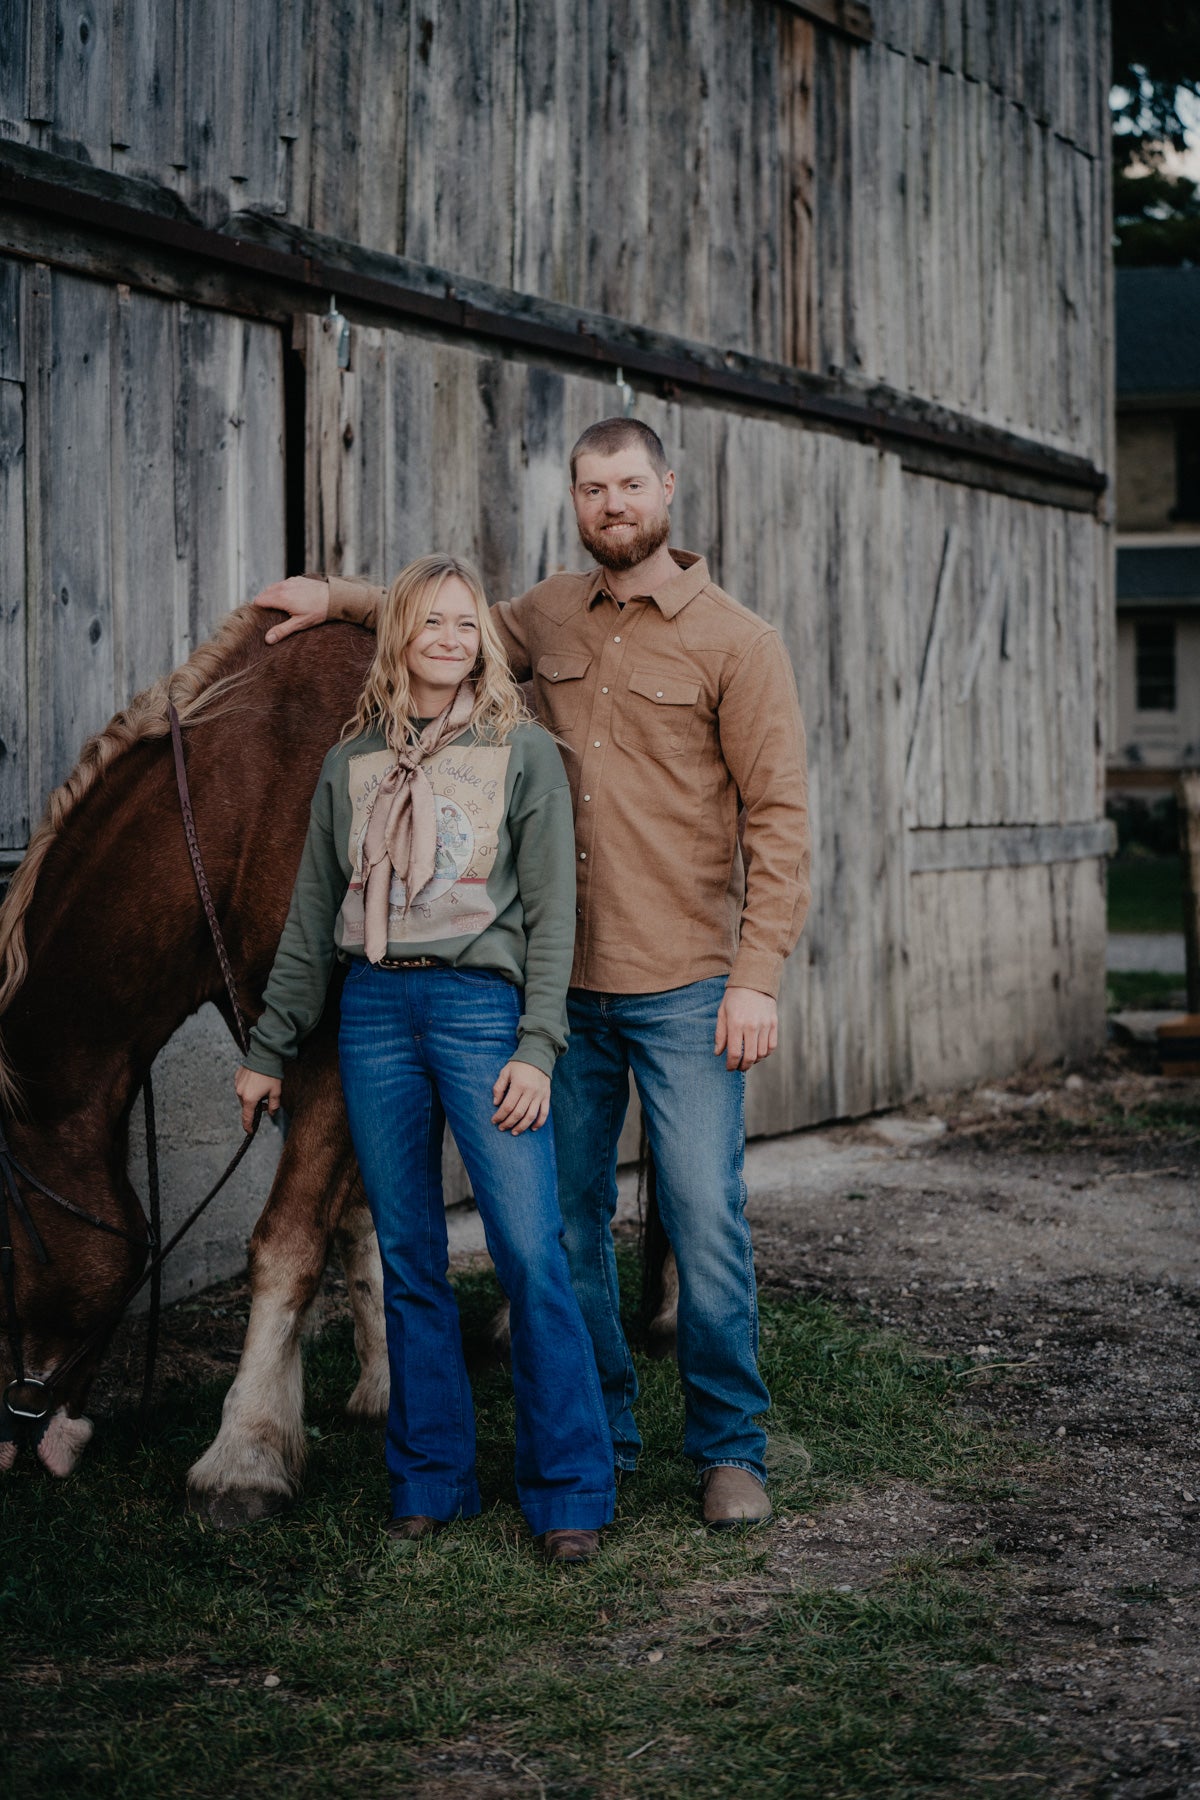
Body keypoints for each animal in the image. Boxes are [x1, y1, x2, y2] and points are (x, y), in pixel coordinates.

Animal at [0, 615, 386, 1519]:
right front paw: (383, 1389)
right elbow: (358, 1215)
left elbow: (288, 1239)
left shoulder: (333, 1035)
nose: (13, 1437)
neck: (250, 797)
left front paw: (246, 1453)